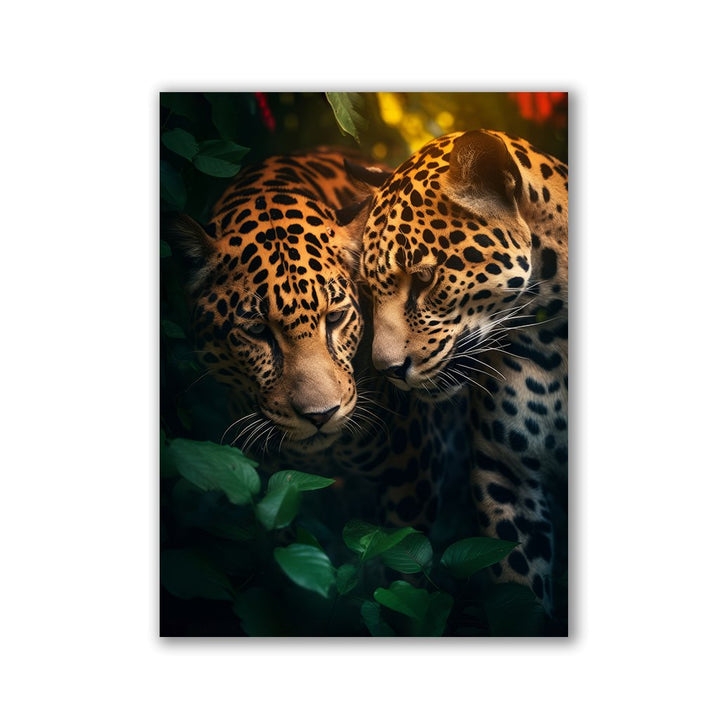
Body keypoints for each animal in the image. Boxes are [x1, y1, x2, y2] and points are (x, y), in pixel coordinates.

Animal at [340, 130, 568, 614]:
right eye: (367, 289)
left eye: (425, 279)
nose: (388, 369)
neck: (552, 341)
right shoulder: (507, 477)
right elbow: (517, 594)